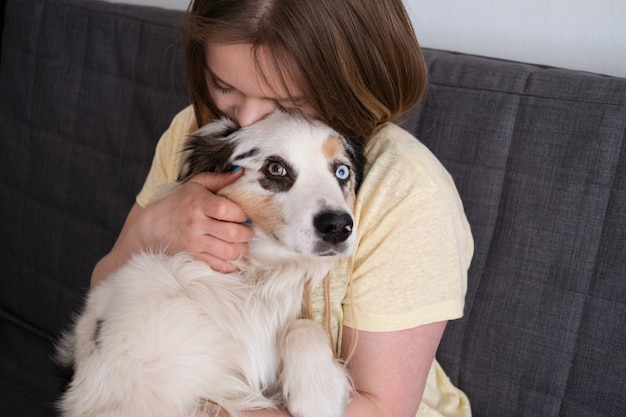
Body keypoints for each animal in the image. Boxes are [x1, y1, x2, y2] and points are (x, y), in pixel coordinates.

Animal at [57, 110, 366, 416]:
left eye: (342, 171)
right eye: (276, 169)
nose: (338, 226)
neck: (250, 280)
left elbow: (303, 326)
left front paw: (318, 392)